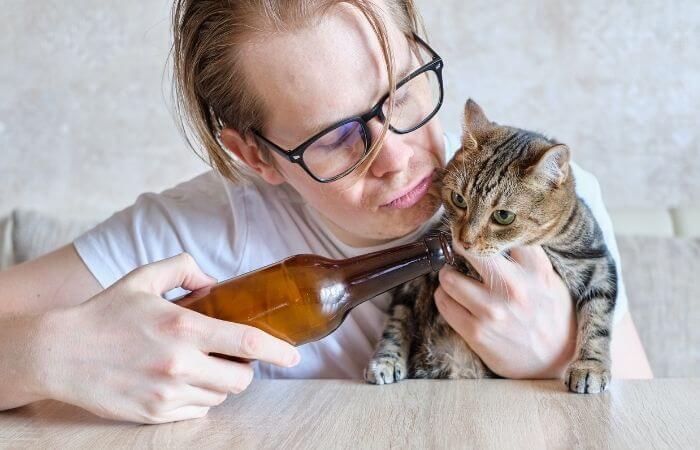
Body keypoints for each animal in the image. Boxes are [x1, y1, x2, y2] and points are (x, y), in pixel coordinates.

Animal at [366, 99, 616, 394]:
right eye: (458, 199)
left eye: (503, 216)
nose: (464, 240)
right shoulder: (415, 275)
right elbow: (397, 320)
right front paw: (385, 359)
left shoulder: (597, 263)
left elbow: (597, 321)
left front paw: (590, 367)